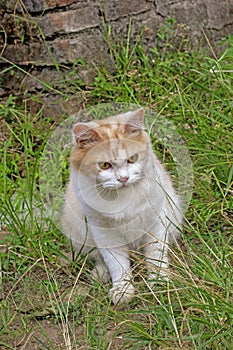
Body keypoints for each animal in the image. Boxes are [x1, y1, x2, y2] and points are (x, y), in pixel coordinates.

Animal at [61, 108, 182, 304]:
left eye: (132, 159)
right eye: (105, 165)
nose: (123, 179)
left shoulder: (156, 223)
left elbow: (156, 256)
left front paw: (159, 282)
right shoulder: (104, 233)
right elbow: (117, 264)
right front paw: (122, 290)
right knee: (100, 259)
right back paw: (100, 274)